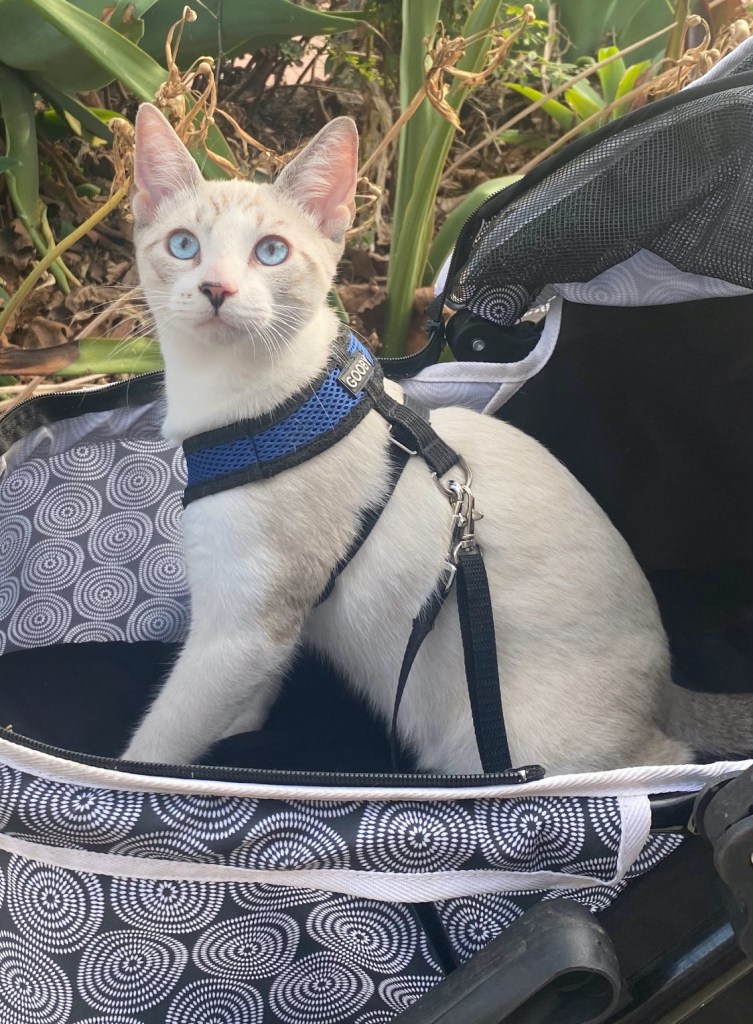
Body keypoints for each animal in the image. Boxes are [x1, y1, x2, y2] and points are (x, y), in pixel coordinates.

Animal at [124, 102, 708, 775]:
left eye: (270, 252)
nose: (216, 289)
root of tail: (668, 696)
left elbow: (156, 749)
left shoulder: (242, 630)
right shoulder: (267, 628)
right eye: (184, 246)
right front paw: (243, 729)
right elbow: (250, 701)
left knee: (668, 758)